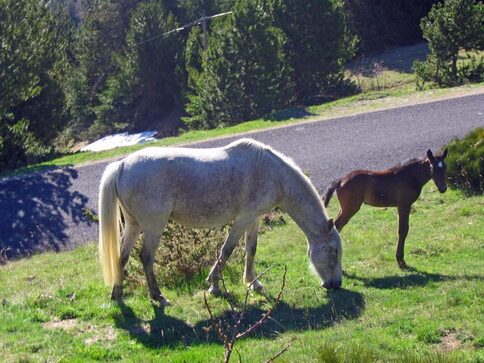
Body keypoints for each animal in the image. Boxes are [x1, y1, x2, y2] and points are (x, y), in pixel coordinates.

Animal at [98, 138, 342, 306]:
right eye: (332, 252)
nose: (336, 284)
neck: (272, 173)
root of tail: (121, 165)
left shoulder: (253, 219)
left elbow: (251, 249)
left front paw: (253, 283)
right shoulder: (243, 219)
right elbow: (227, 250)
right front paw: (214, 285)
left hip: (133, 225)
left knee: (122, 256)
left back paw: (117, 295)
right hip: (152, 227)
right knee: (146, 257)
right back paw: (158, 297)